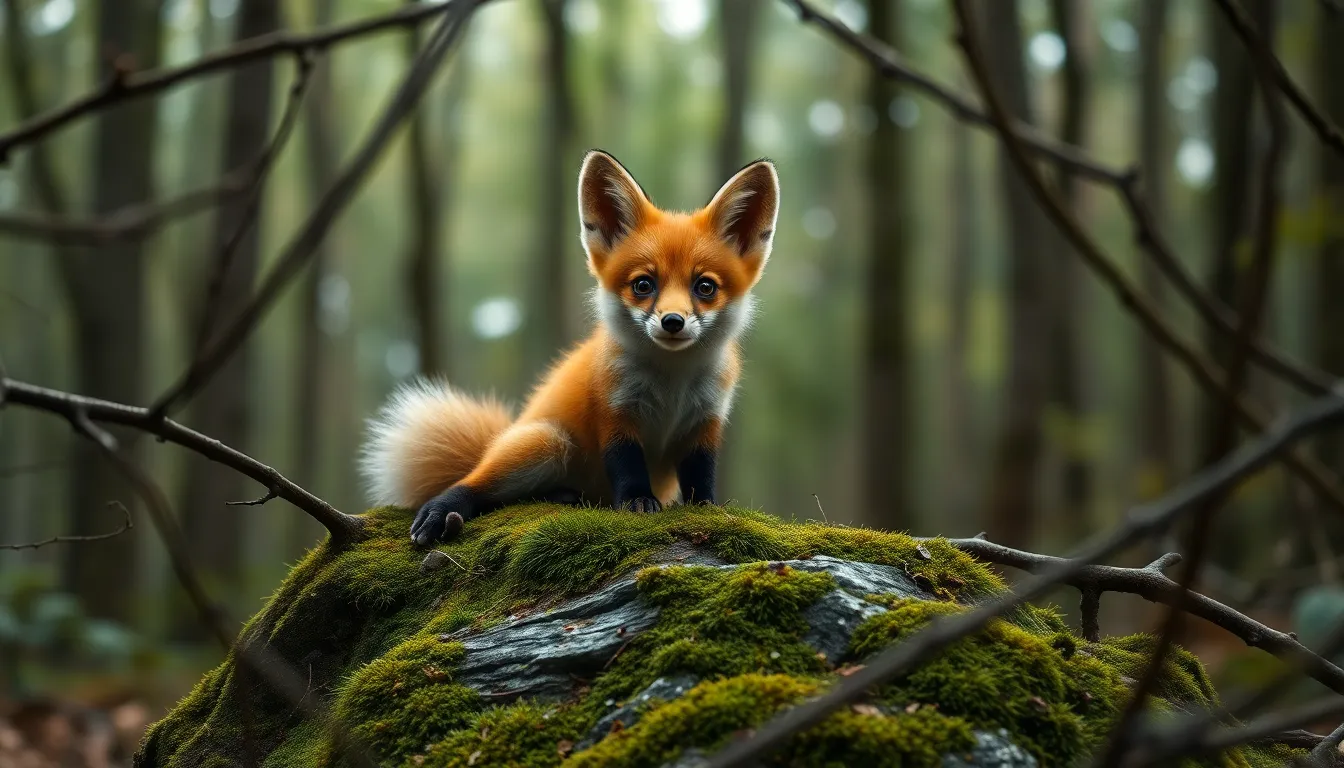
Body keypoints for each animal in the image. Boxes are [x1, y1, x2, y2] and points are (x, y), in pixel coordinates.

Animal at [360, 150, 780, 547]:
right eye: (644, 285)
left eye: (704, 287)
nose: (673, 321)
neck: (671, 385)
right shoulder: (614, 412)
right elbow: (627, 468)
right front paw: (637, 503)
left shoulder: (706, 420)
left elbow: (701, 477)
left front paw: (707, 509)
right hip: (545, 444)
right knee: (475, 486)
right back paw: (446, 510)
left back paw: (565, 497)